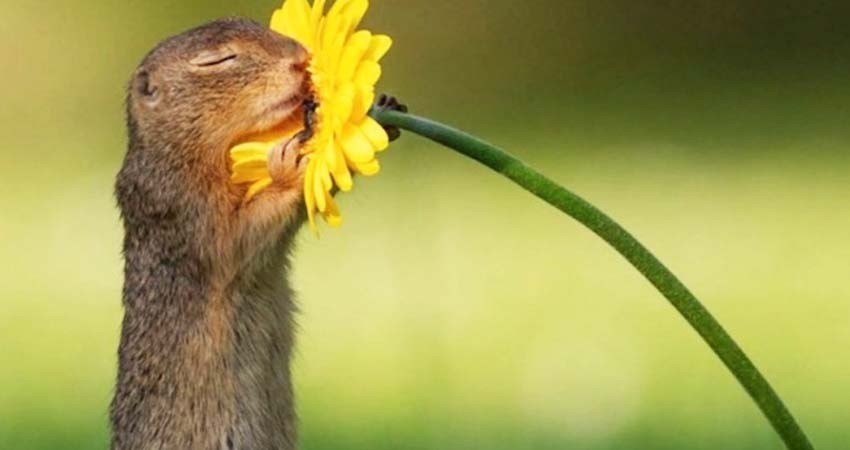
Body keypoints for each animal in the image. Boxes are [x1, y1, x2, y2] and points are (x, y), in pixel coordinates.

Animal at [113, 18, 404, 450]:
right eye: (217, 60)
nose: (300, 59)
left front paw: (385, 109)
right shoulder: (185, 209)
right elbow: (240, 236)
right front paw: (295, 159)